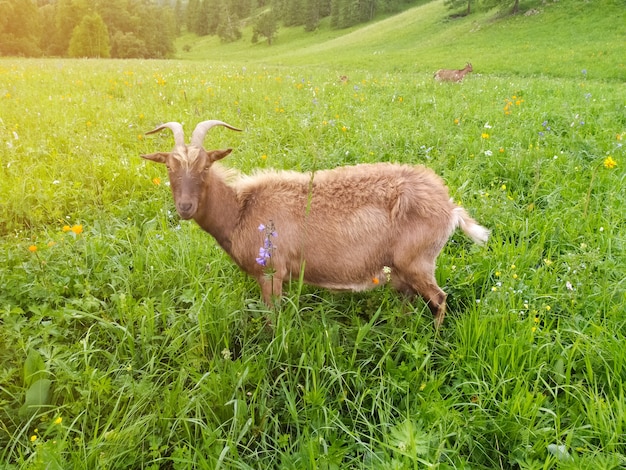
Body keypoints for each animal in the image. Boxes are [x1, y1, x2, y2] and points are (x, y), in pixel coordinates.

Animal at [141, 120, 488, 326]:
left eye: (205, 166)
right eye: (169, 167)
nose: (185, 207)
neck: (241, 210)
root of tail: (449, 206)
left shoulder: (271, 271)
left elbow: (272, 318)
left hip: (417, 260)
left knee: (439, 299)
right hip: (403, 268)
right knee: (410, 297)